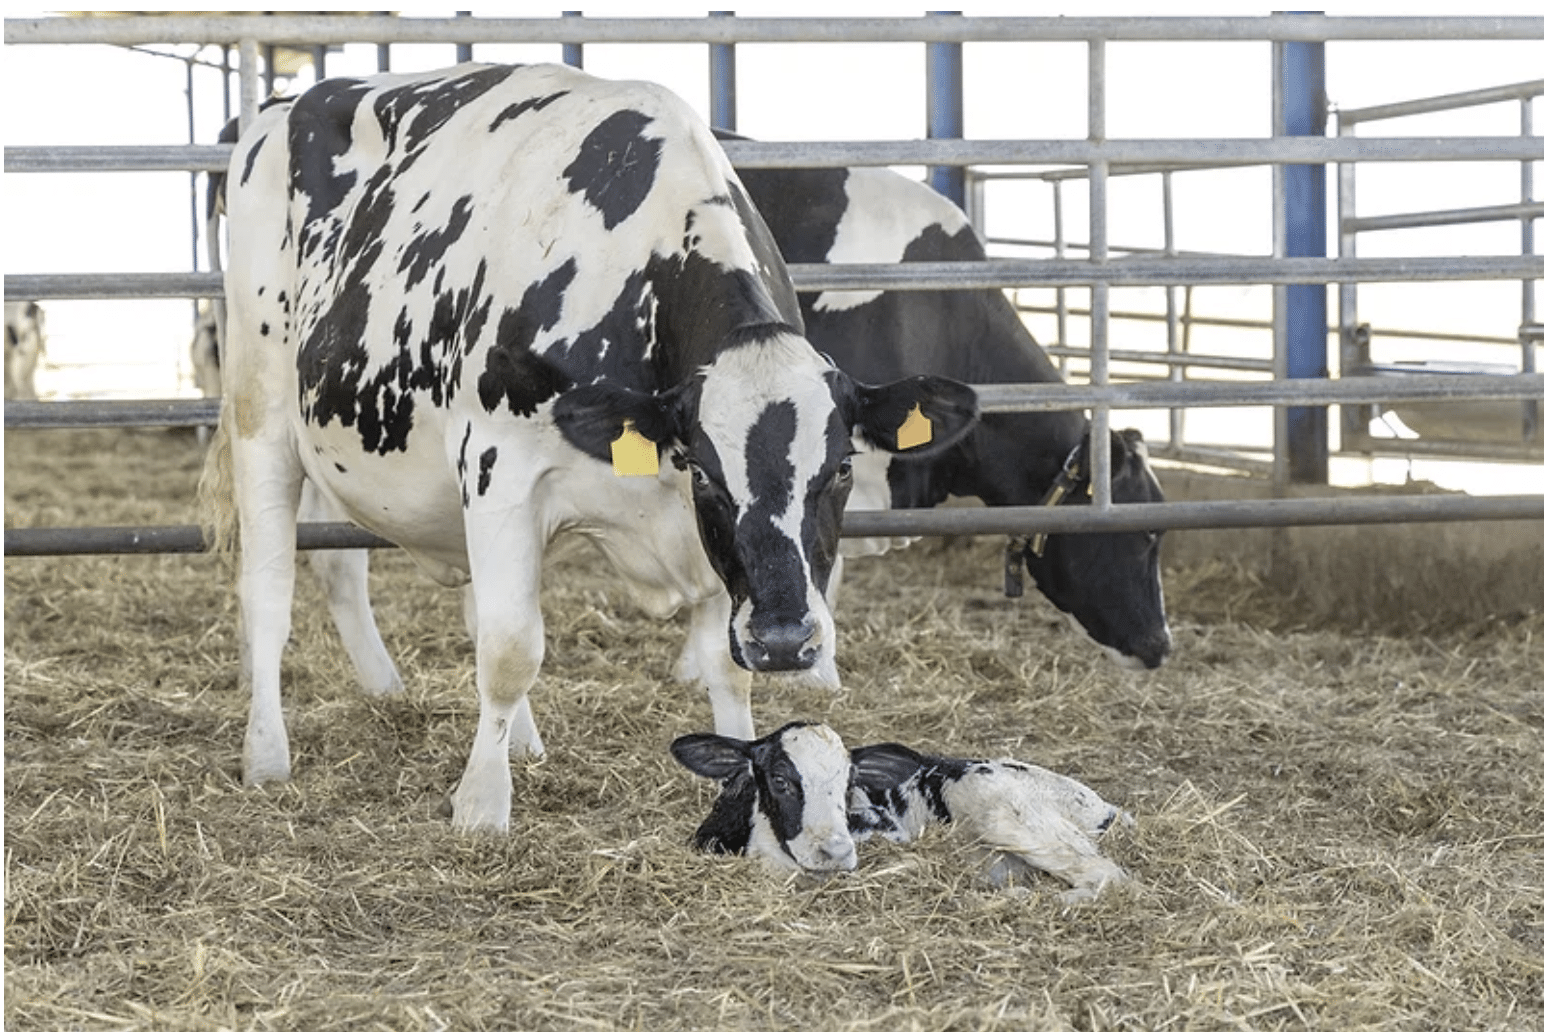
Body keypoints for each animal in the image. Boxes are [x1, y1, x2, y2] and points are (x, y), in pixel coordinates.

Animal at [201, 62, 976, 833]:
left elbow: (722, 664)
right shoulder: (500, 470)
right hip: (261, 413)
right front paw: (481, 805)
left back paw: (508, 735)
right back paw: (266, 754)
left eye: (841, 467)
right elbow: (511, 649)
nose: (786, 641)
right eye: (707, 473)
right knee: (269, 591)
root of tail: (283, 105)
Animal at [671, 721, 1130, 902]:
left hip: (1003, 812)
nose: (836, 851)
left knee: (1112, 877)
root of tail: (1107, 807)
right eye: (780, 781)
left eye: (848, 785)